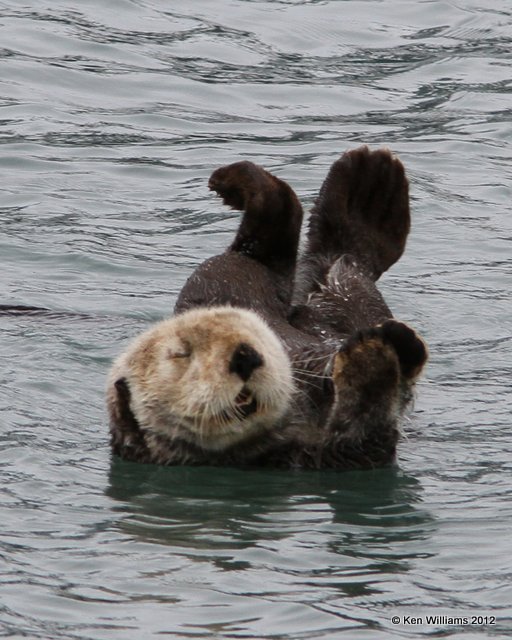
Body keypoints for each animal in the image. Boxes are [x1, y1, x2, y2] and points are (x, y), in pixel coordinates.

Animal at [107, 149, 428, 470]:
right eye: (181, 357)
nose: (243, 355)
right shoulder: (320, 454)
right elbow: (364, 423)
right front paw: (371, 355)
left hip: (229, 280)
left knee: (266, 246)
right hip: (339, 291)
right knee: (340, 264)